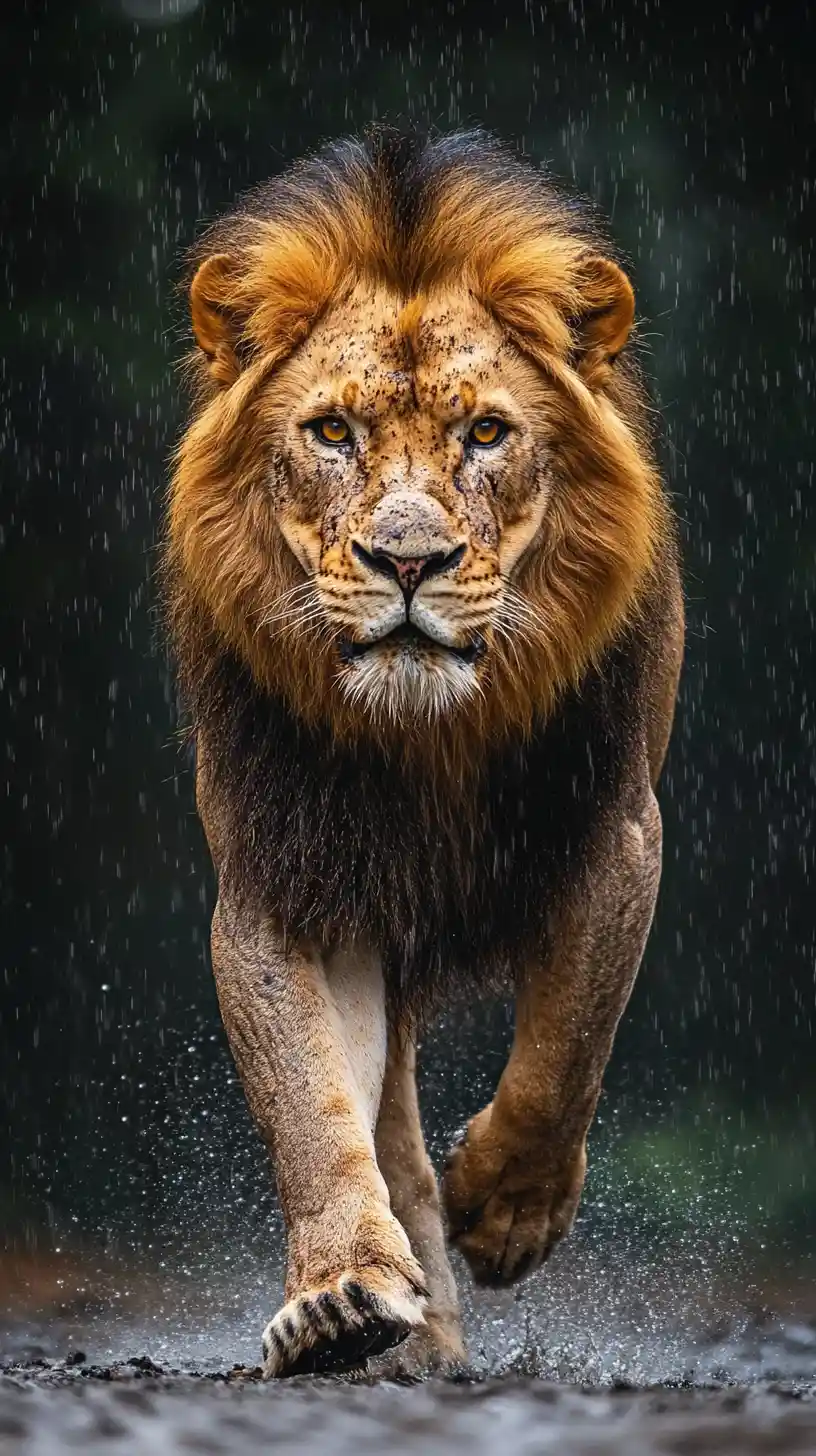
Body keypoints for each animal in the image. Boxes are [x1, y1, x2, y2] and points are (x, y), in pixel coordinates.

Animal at [164, 127, 683, 1378]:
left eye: (485, 433)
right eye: (332, 432)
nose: (409, 560)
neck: (424, 738)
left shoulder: (616, 827)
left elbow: (567, 1042)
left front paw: (505, 1212)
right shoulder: (290, 882)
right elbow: (313, 1105)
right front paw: (343, 1293)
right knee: (385, 1114)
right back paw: (413, 1322)